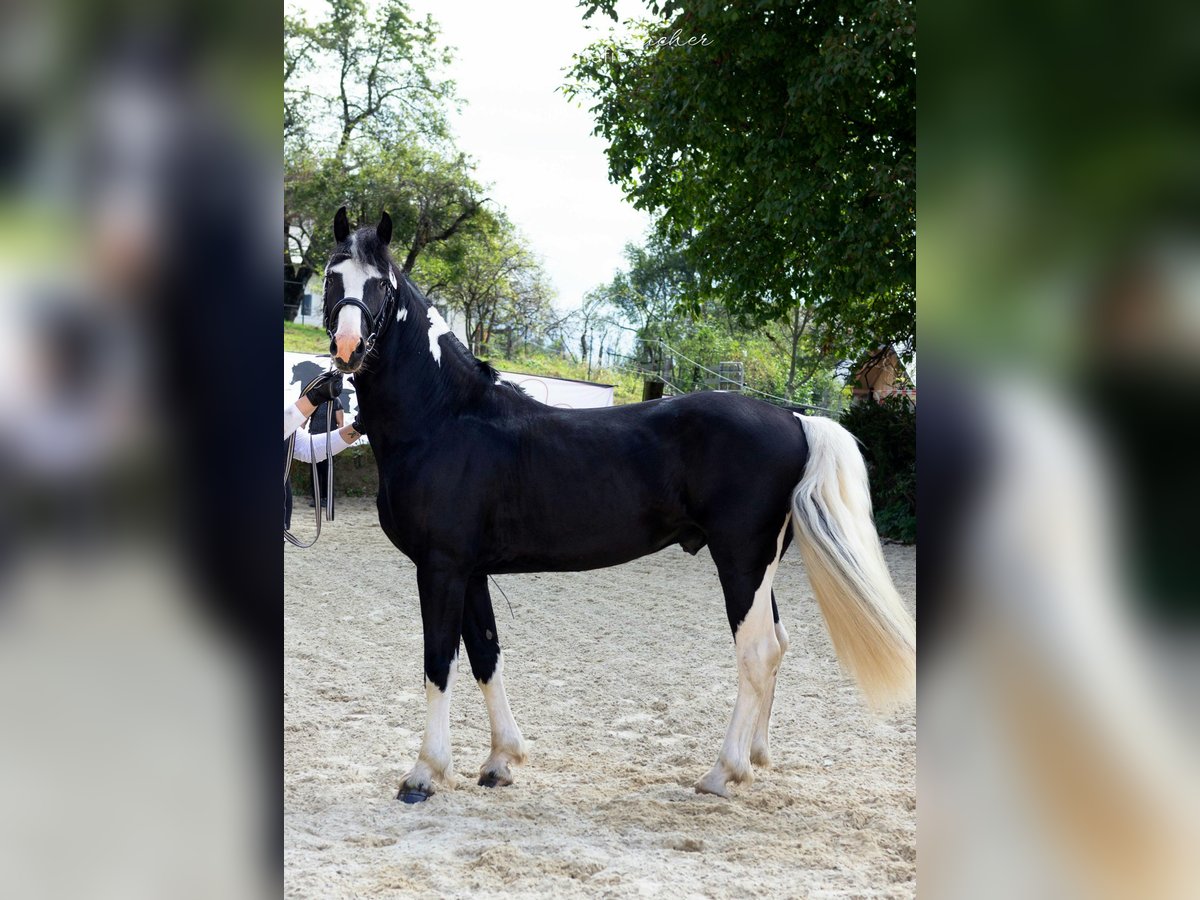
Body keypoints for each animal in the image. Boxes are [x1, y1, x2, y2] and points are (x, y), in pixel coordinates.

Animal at [324, 210, 912, 801]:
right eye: (332, 276)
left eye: (381, 284)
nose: (348, 345)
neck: (446, 418)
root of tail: (795, 419)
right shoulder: (470, 571)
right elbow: (486, 655)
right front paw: (500, 761)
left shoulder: (440, 567)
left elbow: (438, 662)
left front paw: (425, 772)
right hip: (758, 568)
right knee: (778, 646)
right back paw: (755, 759)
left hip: (741, 561)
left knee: (758, 653)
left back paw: (722, 772)